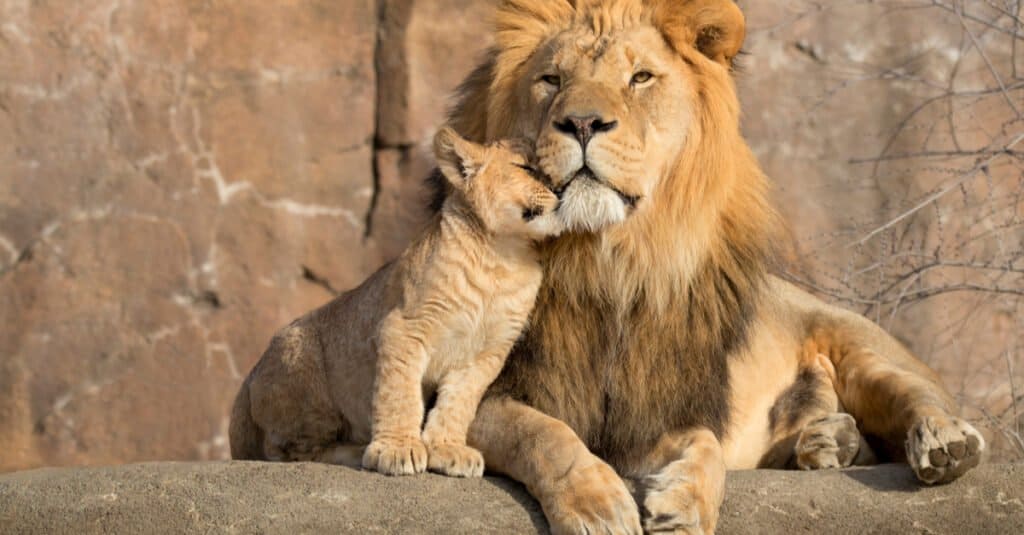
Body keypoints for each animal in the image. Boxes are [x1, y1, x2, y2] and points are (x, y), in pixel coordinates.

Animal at [446, 1, 983, 532]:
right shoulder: (484, 392)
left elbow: (705, 445)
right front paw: (597, 506)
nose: (581, 123)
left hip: (862, 349)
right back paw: (827, 442)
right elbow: (542, 433)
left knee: (919, 398)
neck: (607, 262)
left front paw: (686, 504)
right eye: (552, 79)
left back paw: (942, 442)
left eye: (640, 78)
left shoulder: (655, 411)